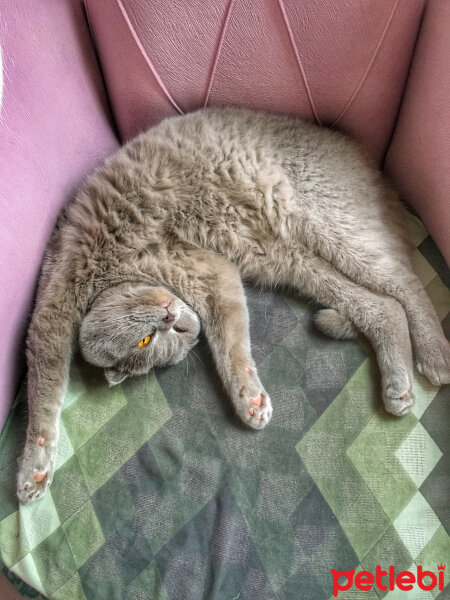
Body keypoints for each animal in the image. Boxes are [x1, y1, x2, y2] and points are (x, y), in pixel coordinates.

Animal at [15, 106, 448, 502]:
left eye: (146, 340)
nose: (174, 318)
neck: (116, 272)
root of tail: (365, 156)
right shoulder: (213, 273)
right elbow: (227, 338)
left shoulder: (52, 309)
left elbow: (43, 387)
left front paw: (33, 467)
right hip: (290, 262)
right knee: (383, 308)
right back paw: (398, 387)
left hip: (329, 225)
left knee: (408, 285)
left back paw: (435, 356)